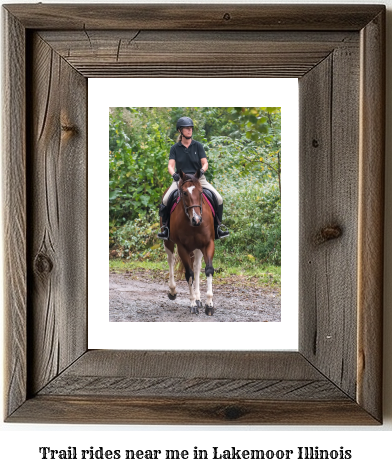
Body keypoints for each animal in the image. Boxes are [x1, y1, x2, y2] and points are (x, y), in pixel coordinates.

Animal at [163, 169, 217, 314]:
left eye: (200, 192)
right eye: (185, 193)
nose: (197, 220)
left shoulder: (208, 243)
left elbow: (208, 270)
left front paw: (209, 304)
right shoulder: (182, 247)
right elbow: (189, 274)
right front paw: (192, 304)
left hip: (198, 248)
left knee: (197, 267)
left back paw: (199, 299)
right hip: (168, 242)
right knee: (170, 260)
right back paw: (173, 291)